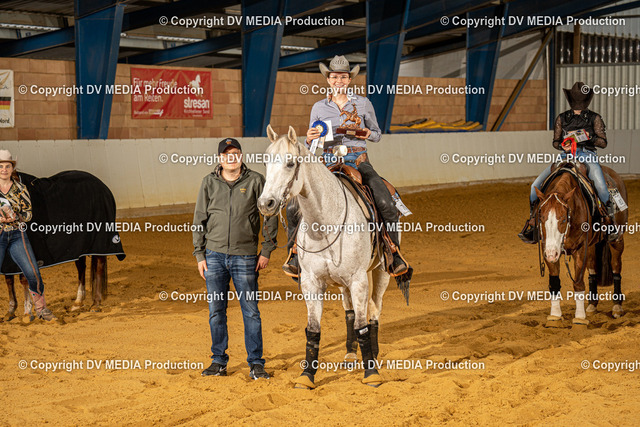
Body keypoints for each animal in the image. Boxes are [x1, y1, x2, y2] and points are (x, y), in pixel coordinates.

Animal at [3, 170, 126, 321]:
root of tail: (102, 186)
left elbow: (24, 278)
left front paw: (27, 312)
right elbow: (9, 280)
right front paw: (11, 311)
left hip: (99, 241)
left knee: (99, 264)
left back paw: (95, 304)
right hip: (80, 246)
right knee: (81, 268)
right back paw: (78, 302)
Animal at [258, 125, 393, 389]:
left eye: (290, 163)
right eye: (266, 161)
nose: (266, 203)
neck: (325, 223)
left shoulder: (359, 279)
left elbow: (362, 325)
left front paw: (371, 372)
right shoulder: (311, 282)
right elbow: (313, 329)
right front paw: (306, 375)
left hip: (381, 271)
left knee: (374, 310)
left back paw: (374, 353)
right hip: (342, 283)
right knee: (350, 313)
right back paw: (350, 354)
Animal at [535, 163, 627, 327]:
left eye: (563, 219)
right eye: (541, 217)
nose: (552, 254)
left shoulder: (579, 250)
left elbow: (578, 283)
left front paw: (579, 317)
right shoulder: (548, 249)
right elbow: (554, 283)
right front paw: (555, 315)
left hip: (617, 241)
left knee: (616, 267)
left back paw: (617, 307)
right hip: (591, 248)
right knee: (592, 271)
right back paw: (592, 305)